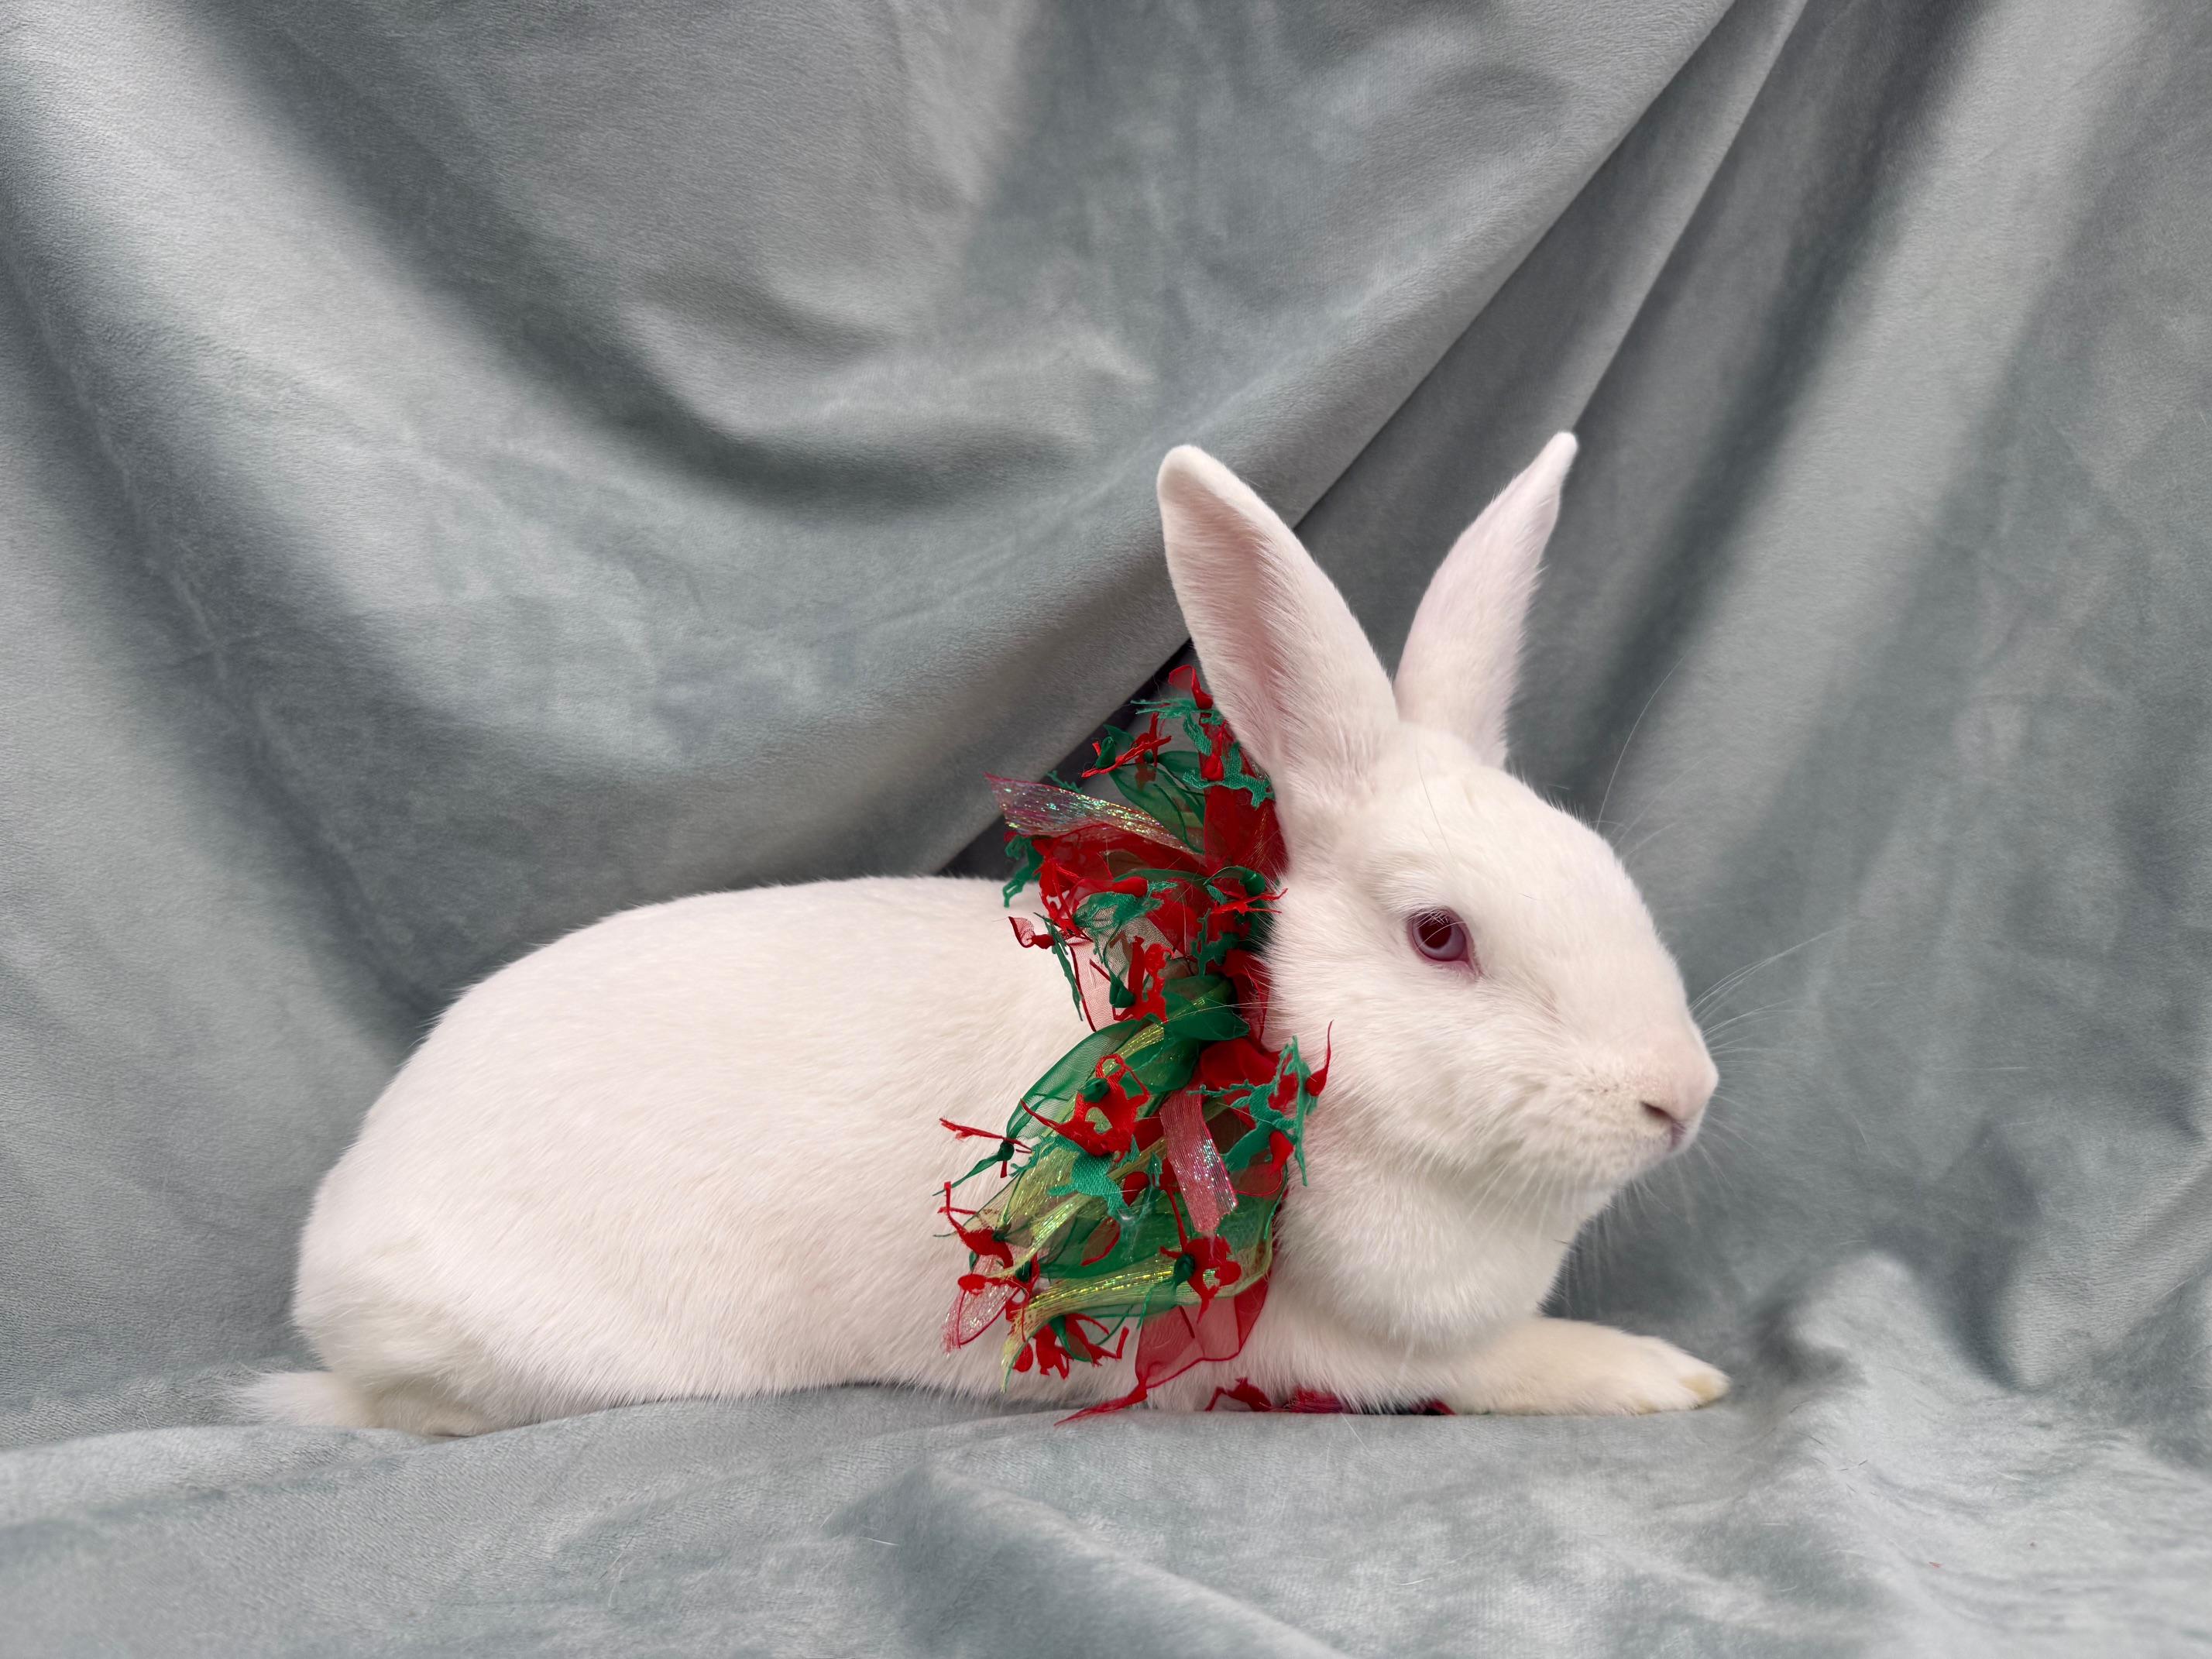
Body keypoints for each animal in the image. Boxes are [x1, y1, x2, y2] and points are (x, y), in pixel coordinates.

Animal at [245, 433, 1726, 1436]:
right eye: (1437, 935)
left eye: (1603, 868)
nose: (1683, 1098)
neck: (1283, 1054)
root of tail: (335, 1235)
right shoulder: (1341, 1347)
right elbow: (1497, 1363)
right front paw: (1658, 1373)